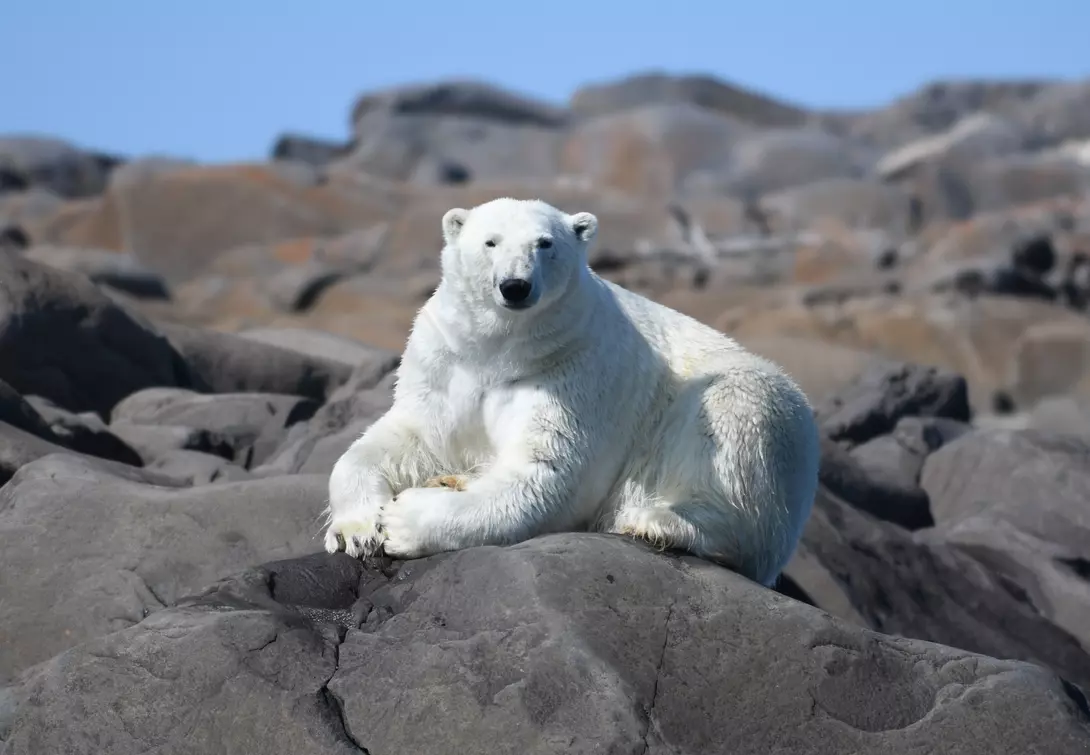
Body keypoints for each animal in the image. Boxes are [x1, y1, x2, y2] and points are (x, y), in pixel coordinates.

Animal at [324, 197, 820, 587]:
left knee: (735, 431)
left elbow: (547, 473)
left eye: (545, 243)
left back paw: (655, 522)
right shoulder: (446, 362)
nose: (515, 286)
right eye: (491, 242)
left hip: (763, 417)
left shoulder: (574, 370)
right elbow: (408, 437)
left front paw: (404, 521)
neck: (502, 347)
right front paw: (357, 528)